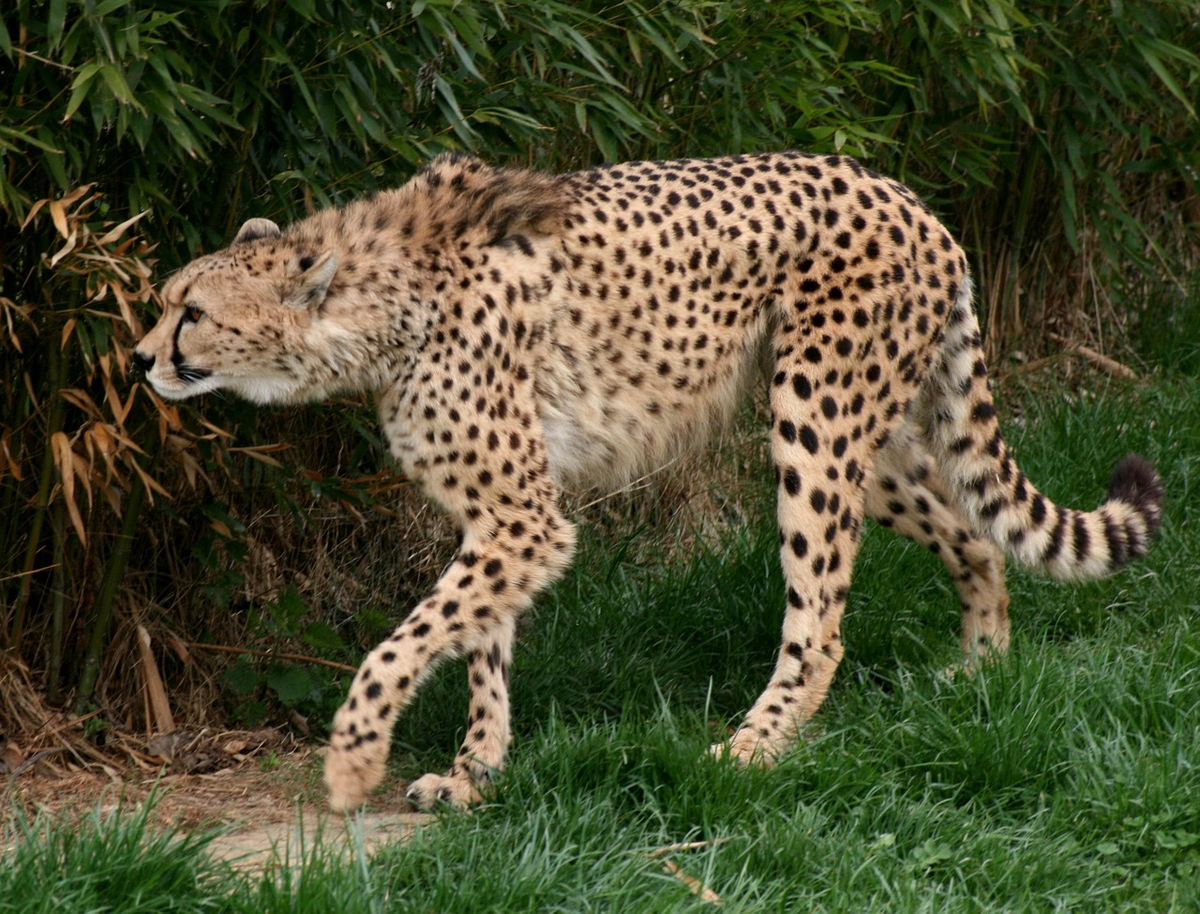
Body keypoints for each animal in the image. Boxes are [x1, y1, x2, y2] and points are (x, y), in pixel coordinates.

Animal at [133, 152, 1161, 806]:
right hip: (858, 435)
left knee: (821, 619)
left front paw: (353, 765)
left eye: (193, 312)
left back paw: (752, 747)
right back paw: (983, 668)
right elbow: (479, 646)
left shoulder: (523, 517)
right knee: (974, 533)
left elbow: (404, 643)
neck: (370, 312)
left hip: (814, 424)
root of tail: (913, 200)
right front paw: (474, 775)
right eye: (164, 304)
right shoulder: (499, 518)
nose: (141, 359)